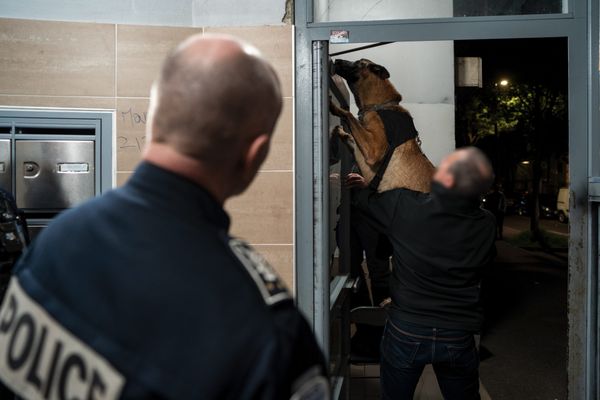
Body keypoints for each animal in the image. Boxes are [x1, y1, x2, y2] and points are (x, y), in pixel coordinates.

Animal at [330, 57, 434, 192]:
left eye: (358, 63)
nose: (336, 59)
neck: (380, 106)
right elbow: (350, 136)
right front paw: (340, 131)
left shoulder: (374, 150)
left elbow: (348, 114)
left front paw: (334, 107)